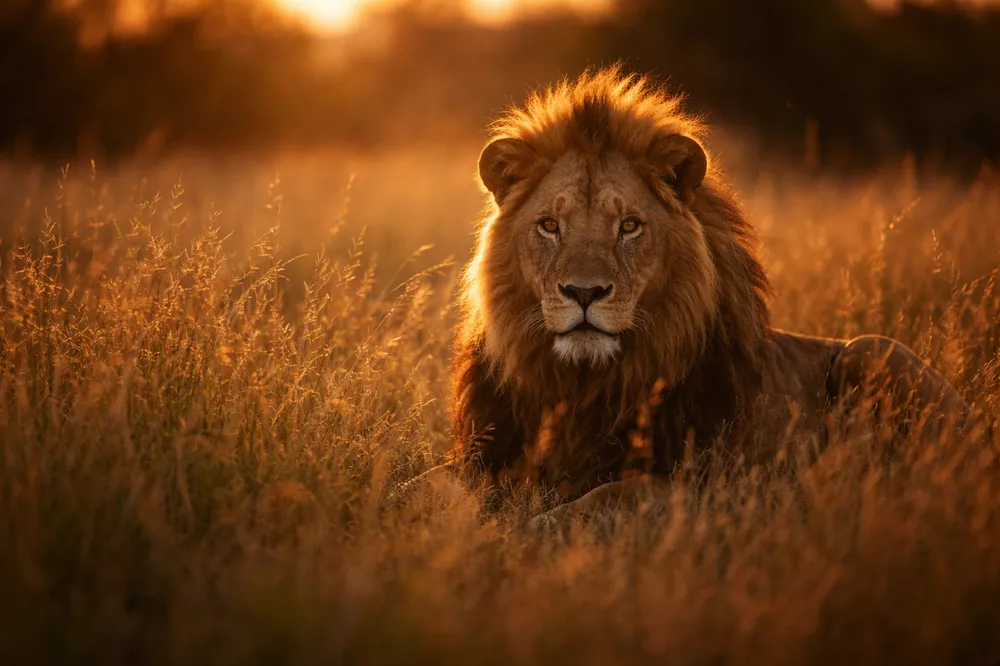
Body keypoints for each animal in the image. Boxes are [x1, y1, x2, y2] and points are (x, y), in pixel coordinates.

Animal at [447, 68, 975, 525]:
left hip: (872, 350)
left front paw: (531, 528)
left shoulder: (709, 486)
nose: (584, 292)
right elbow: (442, 490)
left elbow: (606, 496)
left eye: (629, 226)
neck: (584, 386)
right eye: (550, 226)